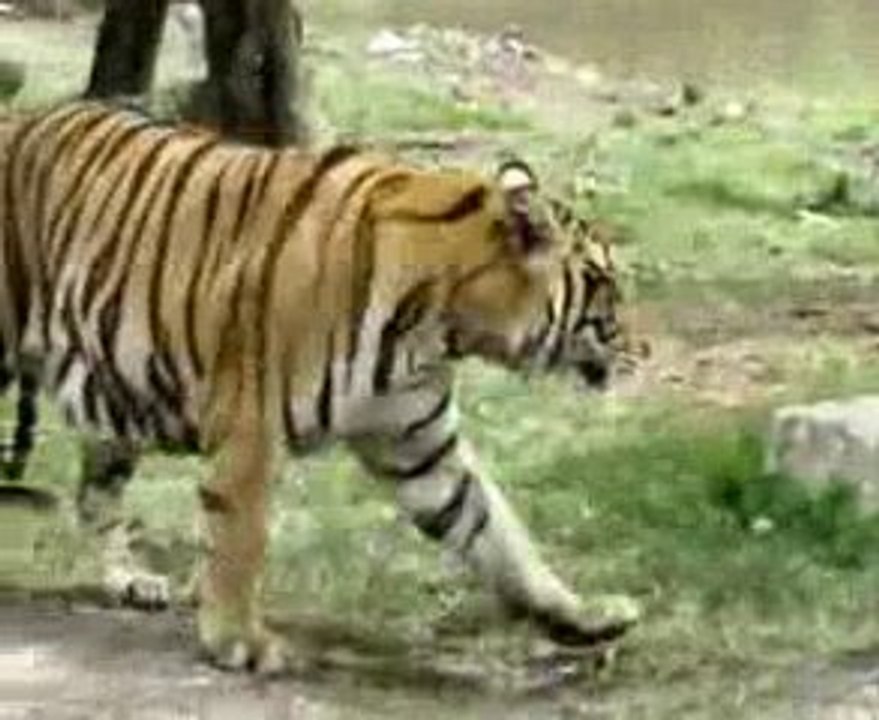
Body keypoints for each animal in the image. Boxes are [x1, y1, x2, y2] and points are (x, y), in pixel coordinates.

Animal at [0, 100, 640, 673]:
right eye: (604, 284)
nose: (643, 350)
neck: (440, 324)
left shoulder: (418, 442)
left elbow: (496, 530)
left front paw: (583, 616)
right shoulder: (250, 425)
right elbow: (241, 539)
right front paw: (239, 642)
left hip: (113, 393)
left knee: (94, 498)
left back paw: (132, 581)